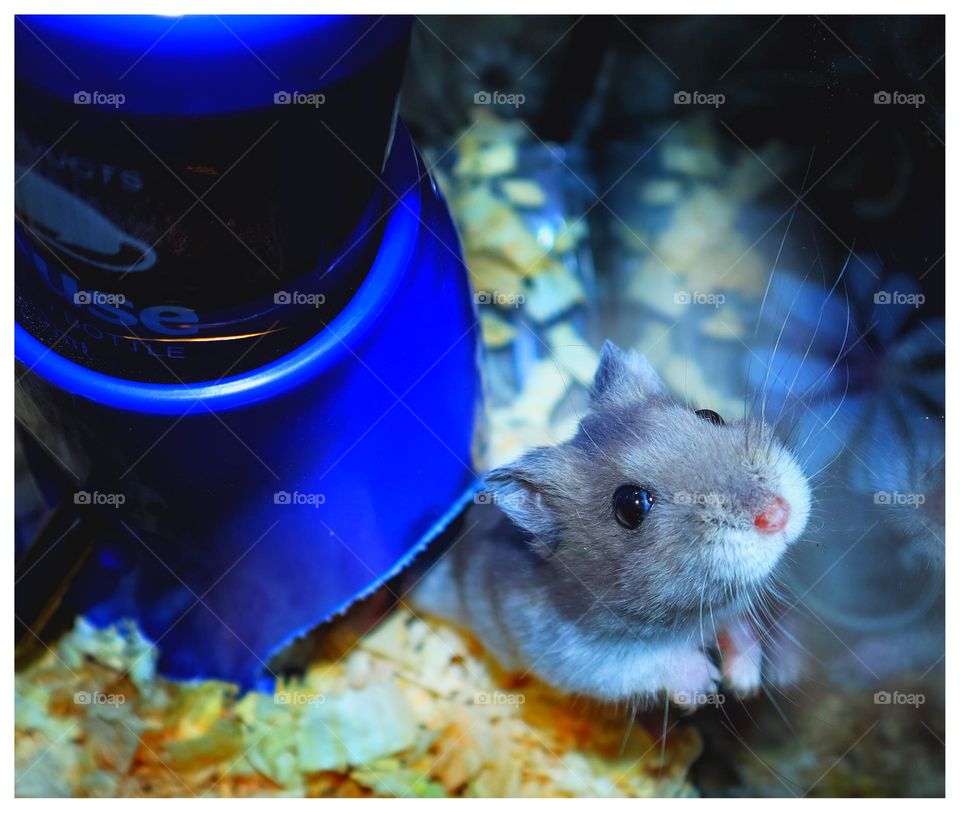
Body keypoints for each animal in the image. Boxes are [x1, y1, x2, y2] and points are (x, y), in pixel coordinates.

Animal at [408, 340, 812, 706]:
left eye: (711, 415)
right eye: (631, 505)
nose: (778, 515)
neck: (685, 615)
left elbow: (740, 626)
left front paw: (746, 684)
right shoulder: (583, 659)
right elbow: (648, 662)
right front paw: (704, 688)